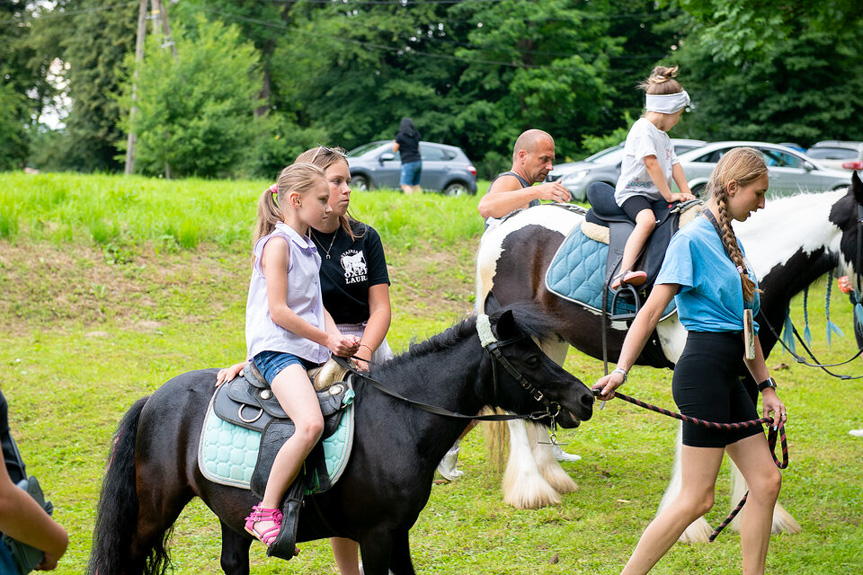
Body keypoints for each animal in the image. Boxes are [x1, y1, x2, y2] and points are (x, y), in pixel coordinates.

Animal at [91, 304, 596, 572]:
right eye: (530, 360)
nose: (586, 398)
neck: (399, 420)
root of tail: (154, 398)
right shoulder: (375, 536)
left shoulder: (399, 533)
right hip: (155, 510)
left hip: (230, 515)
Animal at [476, 173, 860, 544]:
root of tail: (506, 223)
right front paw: (689, 524)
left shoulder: (746, 371)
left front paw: (759, 516)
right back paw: (531, 488)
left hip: (549, 340)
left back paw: (552, 477)